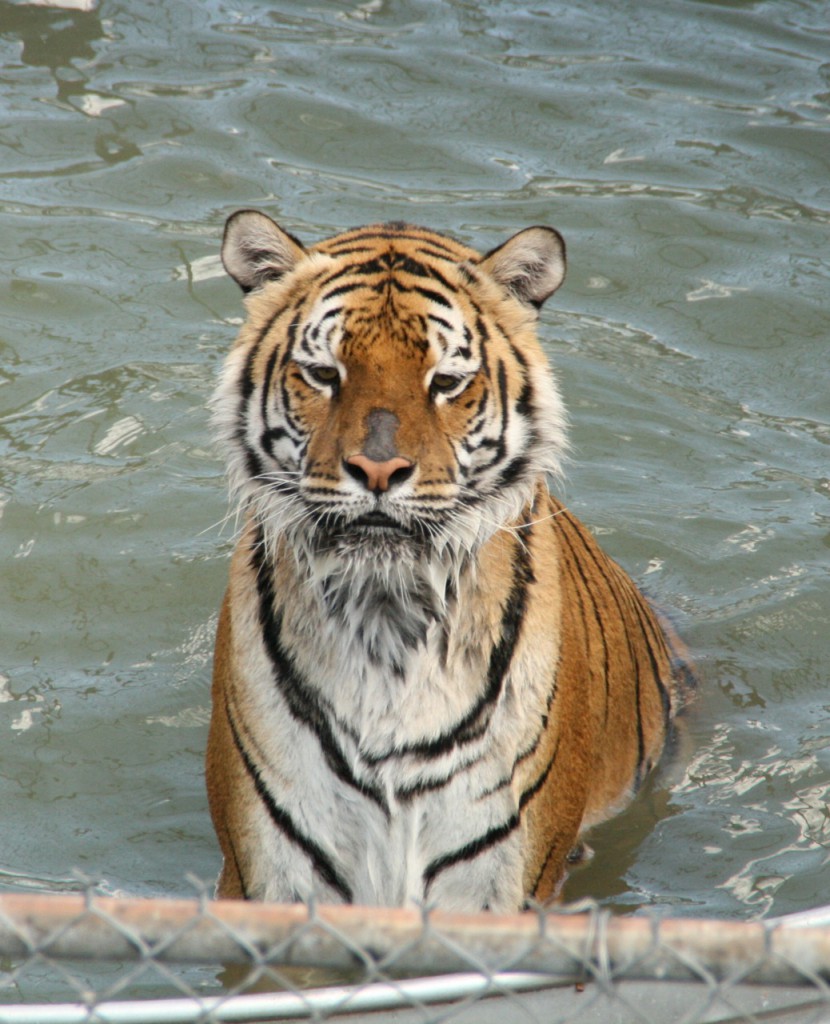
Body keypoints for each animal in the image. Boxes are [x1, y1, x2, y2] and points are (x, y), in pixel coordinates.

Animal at [204, 209, 691, 913]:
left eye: (446, 383)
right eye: (324, 374)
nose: (378, 470)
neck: (384, 620)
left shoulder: (500, 882)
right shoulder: (269, 873)